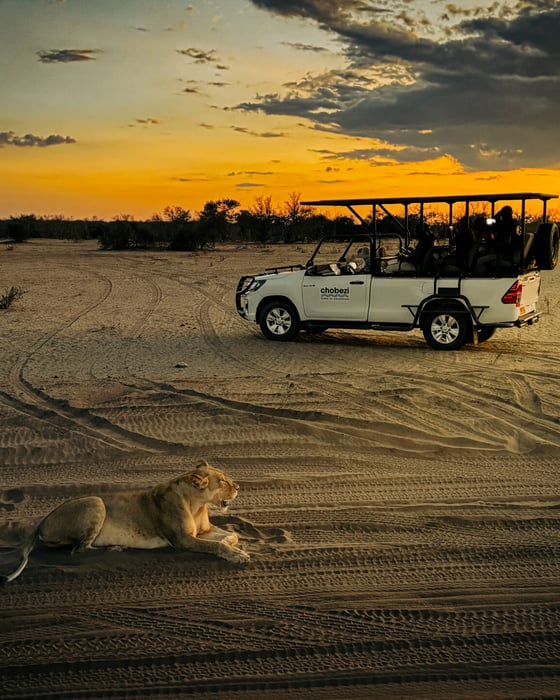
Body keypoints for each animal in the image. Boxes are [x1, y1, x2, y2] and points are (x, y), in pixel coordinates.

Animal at [1, 459, 250, 584]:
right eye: (223, 481)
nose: (238, 487)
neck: (197, 504)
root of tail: (43, 521)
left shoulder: (204, 531)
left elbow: (231, 535)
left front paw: (234, 546)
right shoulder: (182, 540)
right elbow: (214, 546)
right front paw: (236, 555)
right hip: (96, 501)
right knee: (78, 550)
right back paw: (115, 548)